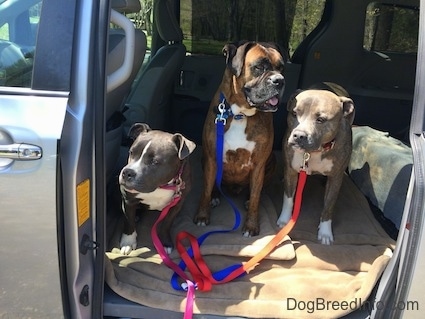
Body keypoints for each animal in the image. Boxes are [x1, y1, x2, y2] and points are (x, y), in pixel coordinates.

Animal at [195, 41, 284, 236]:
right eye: (259, 66)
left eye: (281, 67)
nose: (280, 80)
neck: (240, 114)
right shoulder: (211, 158)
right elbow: (205, 190)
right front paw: (202, 216)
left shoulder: (258, 165)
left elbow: (256, 196)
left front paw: (251, 226)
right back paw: (215, 196)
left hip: (272, 162)